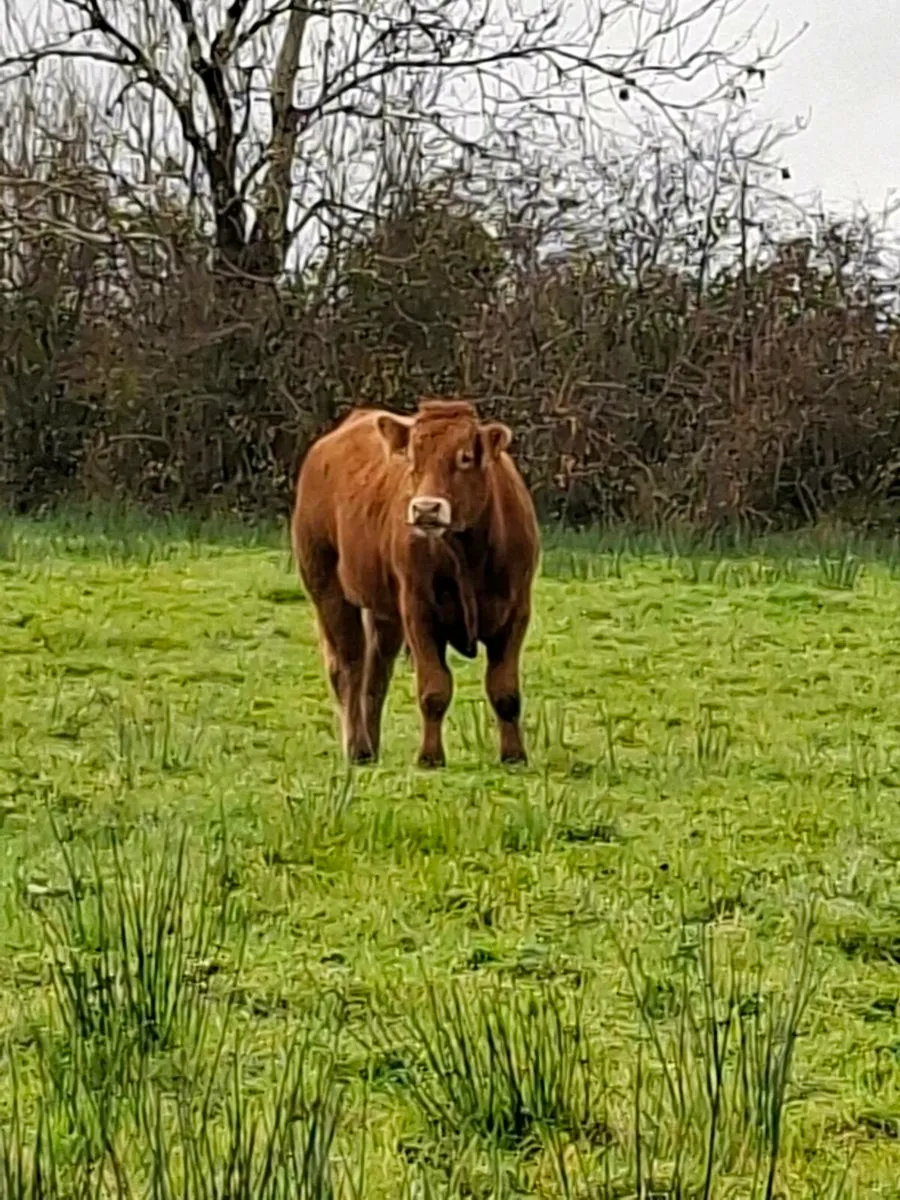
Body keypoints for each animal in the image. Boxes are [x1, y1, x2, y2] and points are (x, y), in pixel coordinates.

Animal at [291, 397, 541, 768]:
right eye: (412, 458)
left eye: (465, 457)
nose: (425, 509)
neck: (468, 553)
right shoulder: (418, 610)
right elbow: (434, 688)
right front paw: (430, 757)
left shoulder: (516, 611)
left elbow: (504, 690)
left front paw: (514, 756)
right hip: (327, 589)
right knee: (349, 668)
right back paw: (358, 748)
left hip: (383, 612)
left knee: (375, 676)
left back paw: (372, 747)